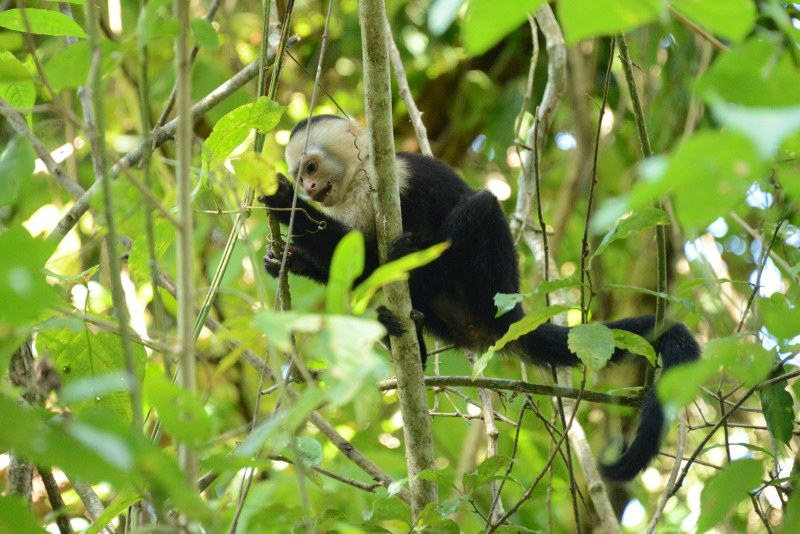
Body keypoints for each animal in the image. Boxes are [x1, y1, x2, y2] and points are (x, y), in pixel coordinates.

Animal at [260, 115, 700, 484]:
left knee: (479, 208)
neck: (355, 180)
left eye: (311, 168)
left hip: (492, 285)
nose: (309, 189)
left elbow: (376, 247)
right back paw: (407, 336)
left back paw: (415, 280)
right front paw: (286, 259)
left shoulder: (390, 179)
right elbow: (355, 265)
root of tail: (508, 319)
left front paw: (282, 200)